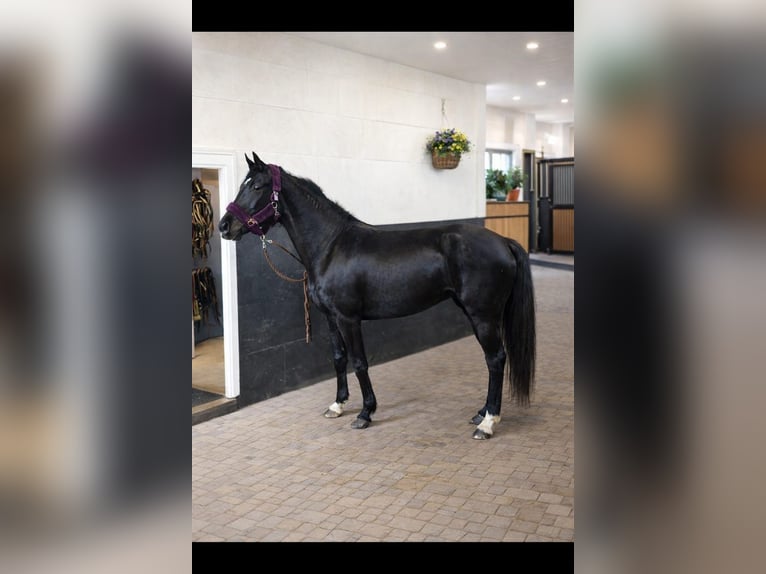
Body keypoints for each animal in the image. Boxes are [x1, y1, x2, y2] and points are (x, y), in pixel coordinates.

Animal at [218, 152, 536, 439]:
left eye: (256, 186)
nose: (224, 226)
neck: (331, 246)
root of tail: (502, 241)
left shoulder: (349, 319)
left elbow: (359, 362)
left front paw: (365, 413)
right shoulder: (331, 319)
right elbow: (338, 358)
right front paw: (338, 404)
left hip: (484, 316)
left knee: (496, 359)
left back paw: (488, 422)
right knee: (492, 360)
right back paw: (481, 414)